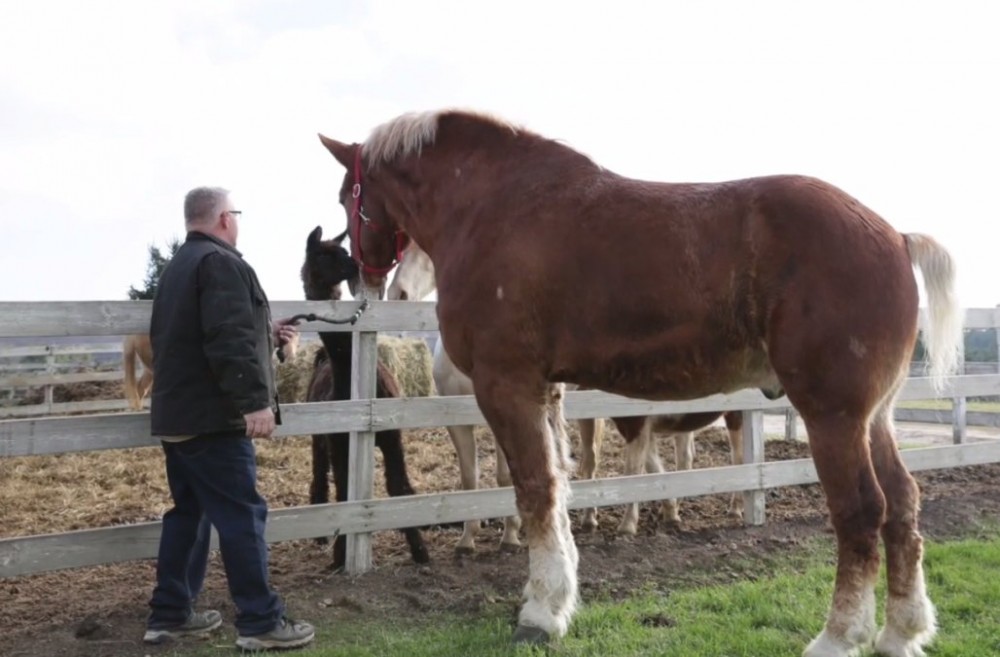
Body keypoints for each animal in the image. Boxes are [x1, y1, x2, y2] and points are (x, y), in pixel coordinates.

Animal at [386, 241, 748, 540]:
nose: (397, 293)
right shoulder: (457, 423)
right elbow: (469, 479)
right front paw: (467, 539)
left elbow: (505, 478)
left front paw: (511, 535)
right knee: (675, 454)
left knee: (595, 462)